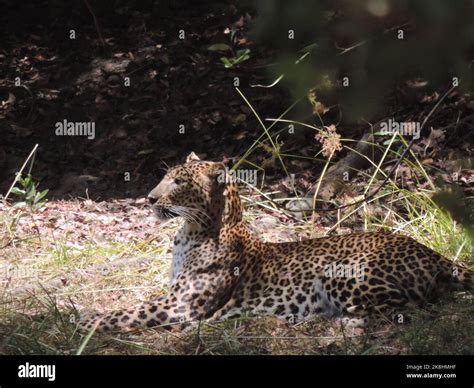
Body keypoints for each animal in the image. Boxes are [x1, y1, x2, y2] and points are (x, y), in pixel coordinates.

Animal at [79, 153, 472, 332]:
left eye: (178, 182)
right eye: (166, 177)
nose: (148, 198)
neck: (191, 232)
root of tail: (432, 253)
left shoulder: (179, 306)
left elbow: (127, 312)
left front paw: (83, 320)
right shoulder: (171, 296)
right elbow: (132, 305)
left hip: (340, 274)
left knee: (410, 304)